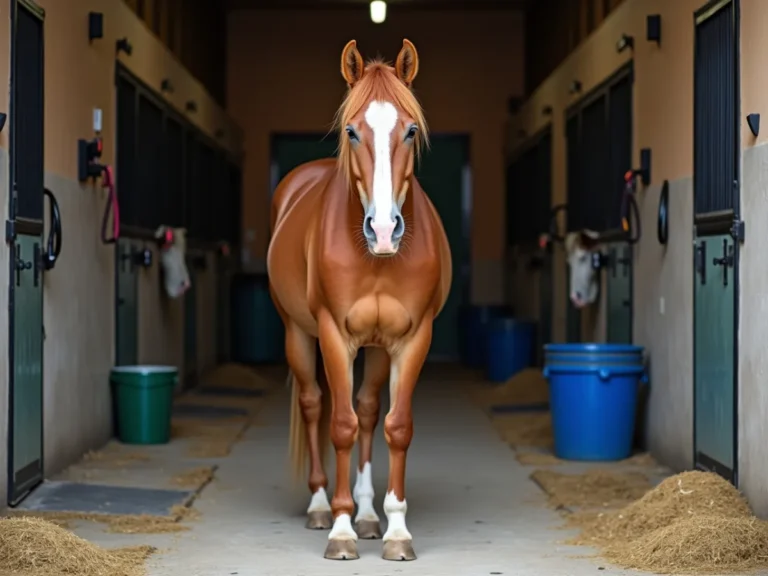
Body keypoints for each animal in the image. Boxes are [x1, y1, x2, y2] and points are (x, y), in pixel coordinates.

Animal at [267, 38, 452, 561]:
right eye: (351, 131)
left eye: (410, 130)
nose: (384, 230)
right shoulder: (333, 334)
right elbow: (341, 426)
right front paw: (341, 529)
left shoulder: (412, 338)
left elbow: (394, 425)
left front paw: (394, 530)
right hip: (297, 333)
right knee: (314, 405)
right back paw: (320, 505)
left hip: (376, 347)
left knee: (370, 411)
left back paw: (370, 515)